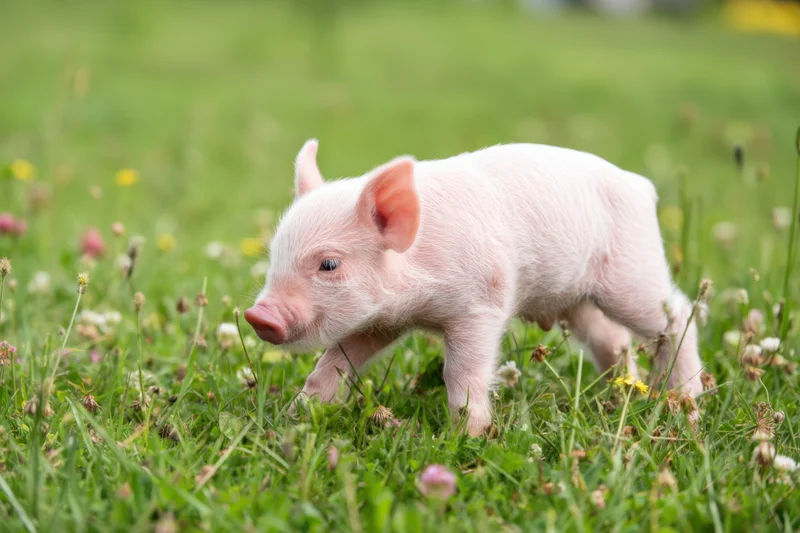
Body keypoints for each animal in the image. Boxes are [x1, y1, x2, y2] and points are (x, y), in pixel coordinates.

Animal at [245, 140, 704, 436]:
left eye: (329, 264)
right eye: (276, 255)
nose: (257, 315)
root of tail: (641, 186)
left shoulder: (482, 304)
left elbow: (462, 370)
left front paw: (466, 436)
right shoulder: (381, 321)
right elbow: (333, 363)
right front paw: (295, 416)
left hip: (632, 272)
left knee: (678, 315)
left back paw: (684, 402)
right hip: (577, 300)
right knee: (613, 339)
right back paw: (620, 395)